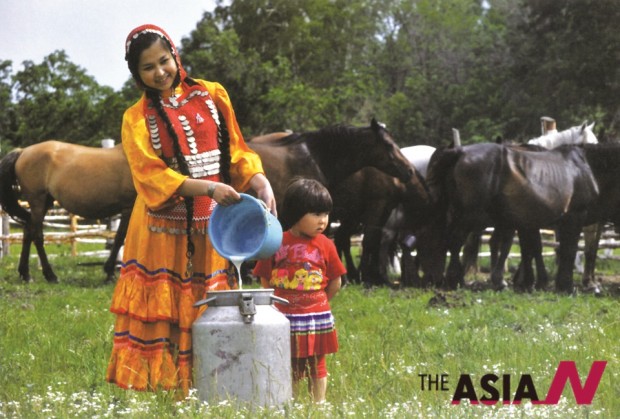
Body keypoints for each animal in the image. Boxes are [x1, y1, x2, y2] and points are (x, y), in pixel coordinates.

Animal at [0, 143, 136, 284]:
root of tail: (23, 151)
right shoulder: (129, 207)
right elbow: (120, 238)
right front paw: (110, 273)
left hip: (44, 203)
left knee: (28, 231)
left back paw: (26, 274)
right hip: (38, 202)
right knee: (37, 236)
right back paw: (50, 275)